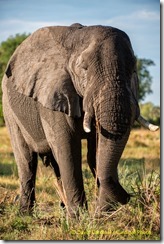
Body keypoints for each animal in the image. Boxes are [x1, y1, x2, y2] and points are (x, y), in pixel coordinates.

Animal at [0, 22, 158, 217]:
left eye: (133, 70)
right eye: (84, 69)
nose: (128, 196)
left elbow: (96, 150)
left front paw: (100, 216)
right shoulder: (54, 92)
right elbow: (67, 147)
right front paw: (79, 218)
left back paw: (63, 210)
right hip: (9, 107)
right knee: (26, 160)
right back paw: (25, 214)